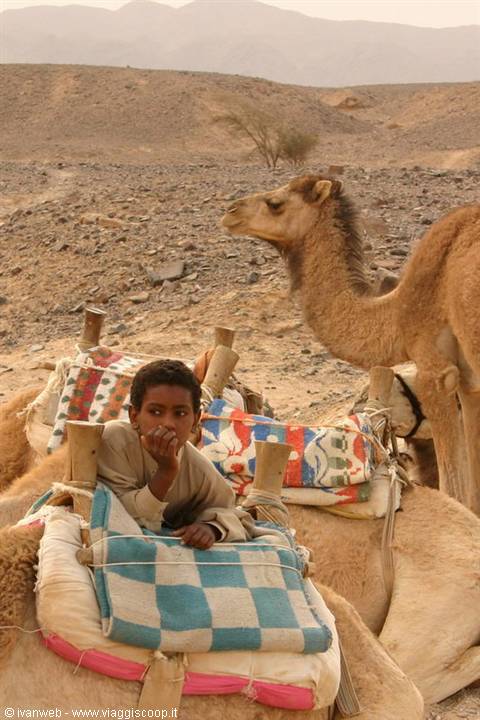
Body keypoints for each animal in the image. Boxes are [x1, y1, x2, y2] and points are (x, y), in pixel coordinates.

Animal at [222, 175, 480, 515]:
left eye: (275, 203)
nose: (230, 211)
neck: (394, 313)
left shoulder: (436, 373)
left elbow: (457, 493)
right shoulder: (469, 383)